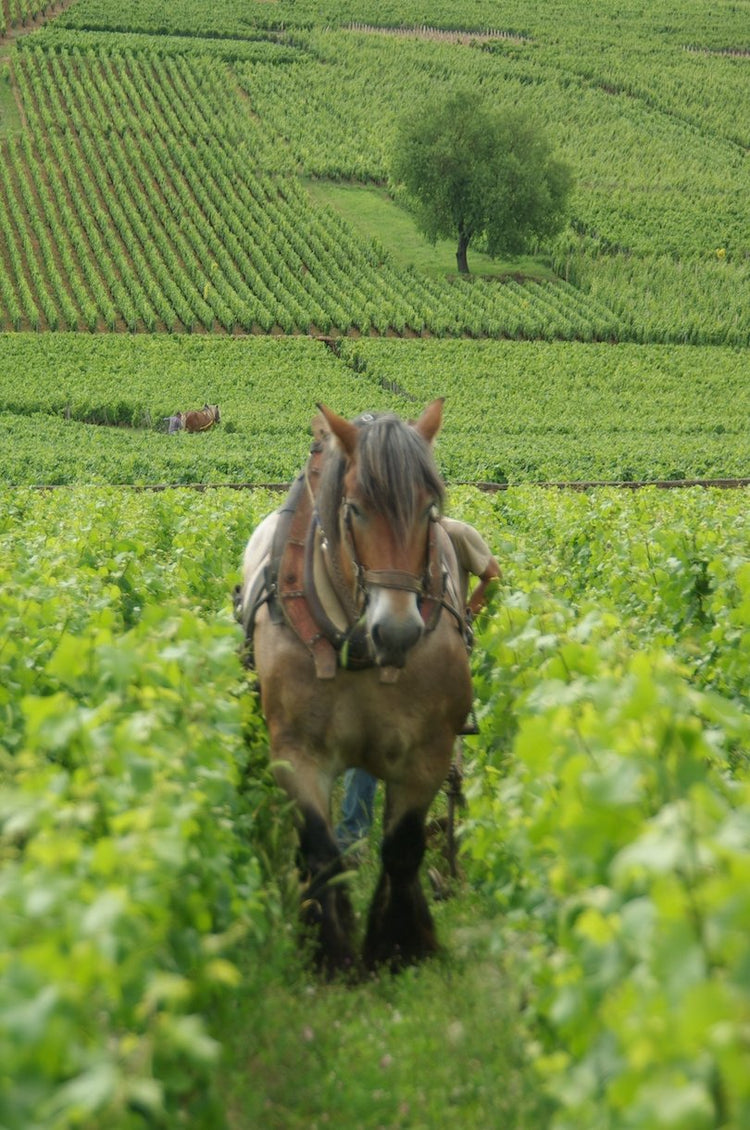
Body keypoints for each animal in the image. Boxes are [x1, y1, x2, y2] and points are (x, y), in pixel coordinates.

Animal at [236, 397, 469, 971]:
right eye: (357, 508)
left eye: (429, 508)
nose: (399, 631)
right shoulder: (295, 752)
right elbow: (320, 850)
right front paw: (330, 948)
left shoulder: (429, 751)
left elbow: (403, 848)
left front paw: (400, 943)